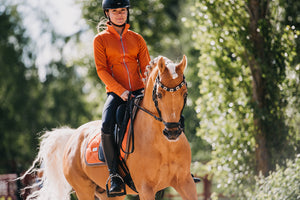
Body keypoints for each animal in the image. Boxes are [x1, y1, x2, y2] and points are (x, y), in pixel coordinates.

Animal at [23, 55, 197, 200]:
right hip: (83, 190)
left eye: (185, 93)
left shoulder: (185, 182)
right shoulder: (146, 188)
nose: (172, 131)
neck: (164, 144)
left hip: (110, 195)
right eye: (159, 94)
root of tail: (73, 136)